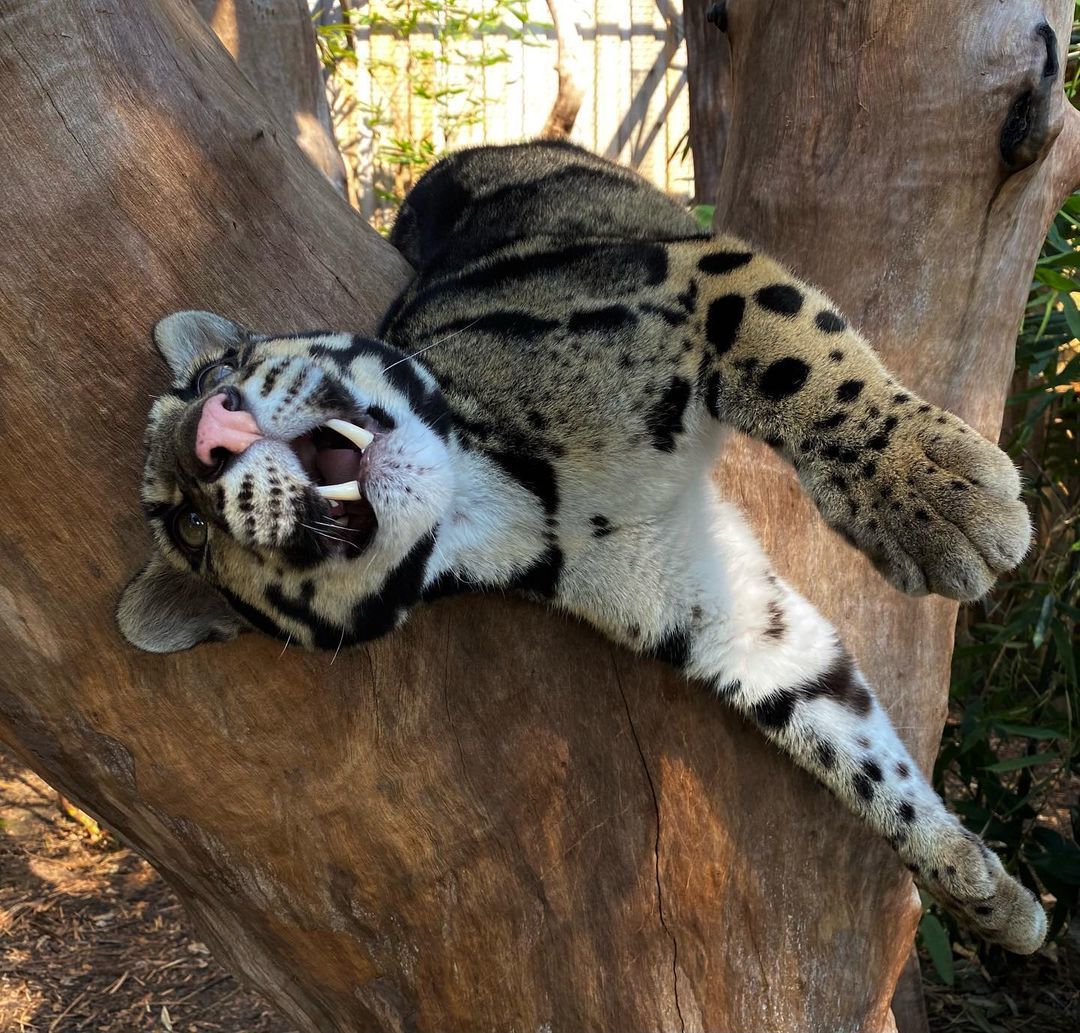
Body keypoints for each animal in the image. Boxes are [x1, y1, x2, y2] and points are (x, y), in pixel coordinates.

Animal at [118, 141, 1045, 955]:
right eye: (189, 530)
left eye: (219, 371)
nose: (208, 435)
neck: (496, 499)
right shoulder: (718, 611)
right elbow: (840, 730)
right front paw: (974, 882)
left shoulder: (681, 276)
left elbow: (801, 356)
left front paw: (933, 492)